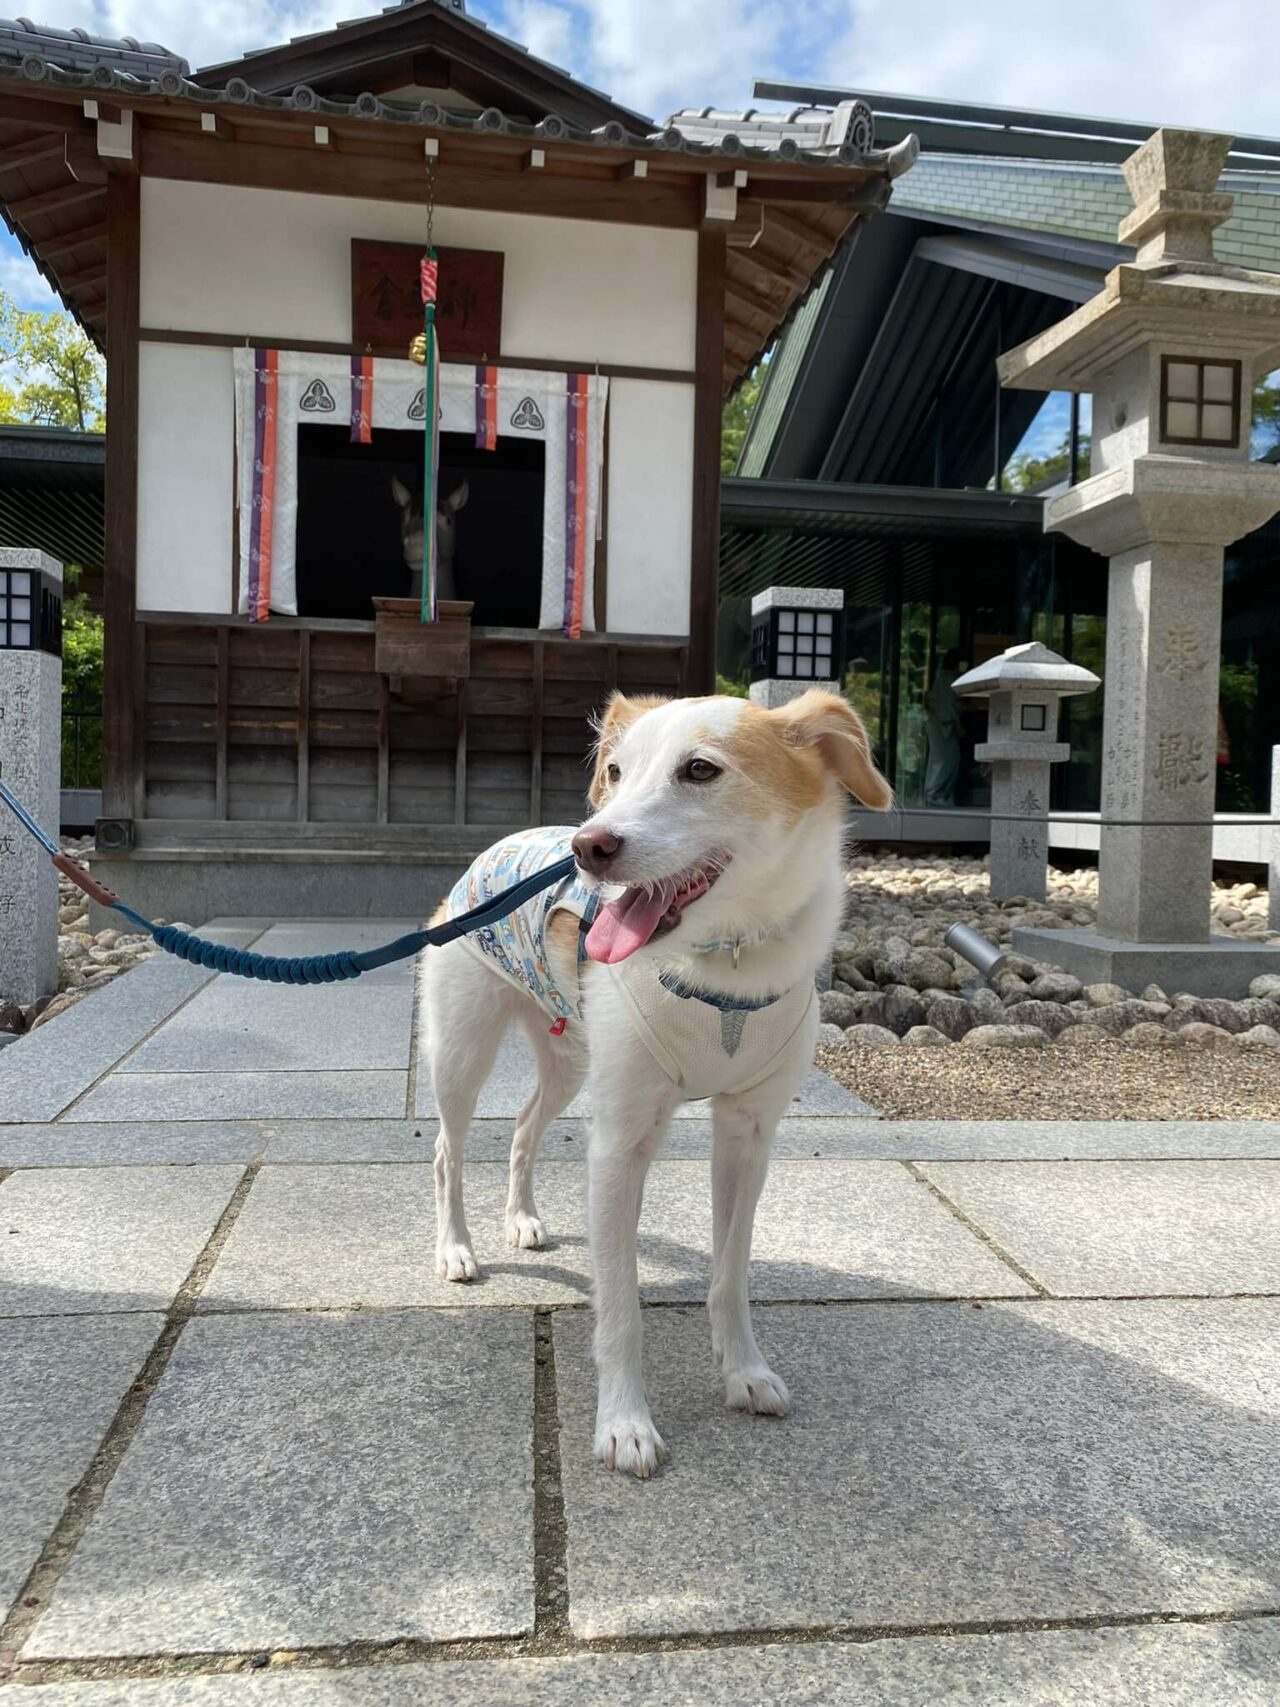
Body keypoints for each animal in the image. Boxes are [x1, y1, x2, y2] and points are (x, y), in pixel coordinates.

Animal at [421, 686, 894, 1474]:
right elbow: (619, 1304)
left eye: (700, 769)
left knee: (523, 1126)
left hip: (571, 1061)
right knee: (446, 1152)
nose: (587, 848)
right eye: (614, 770)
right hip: (462, 1048)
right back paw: (456, 1248)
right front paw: (625, 1424)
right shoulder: (621, 1139)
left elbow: (731, 1272)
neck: (725, 963)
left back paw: (522, 1219)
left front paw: (744, 1371)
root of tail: (493, 850)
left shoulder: (749, 1133)